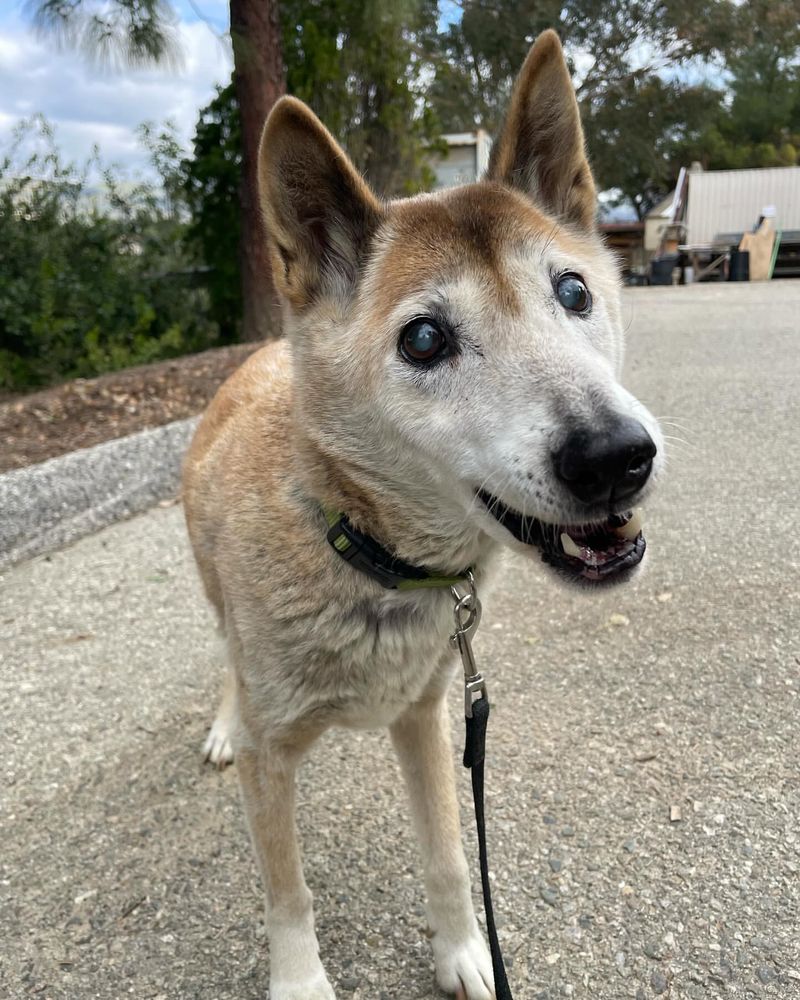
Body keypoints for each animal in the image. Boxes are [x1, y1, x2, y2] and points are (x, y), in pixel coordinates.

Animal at [181, 29, 664, 1000]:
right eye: (426, 340)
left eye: (573, 293)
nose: (617, 457)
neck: (363, 548)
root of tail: (253, 358)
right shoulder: (271, 760)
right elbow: (288, 896)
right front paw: (300, 983)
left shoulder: (429, 714)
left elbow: (446, 854)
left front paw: (464, 952)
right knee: (225, 661)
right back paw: (220, 719)